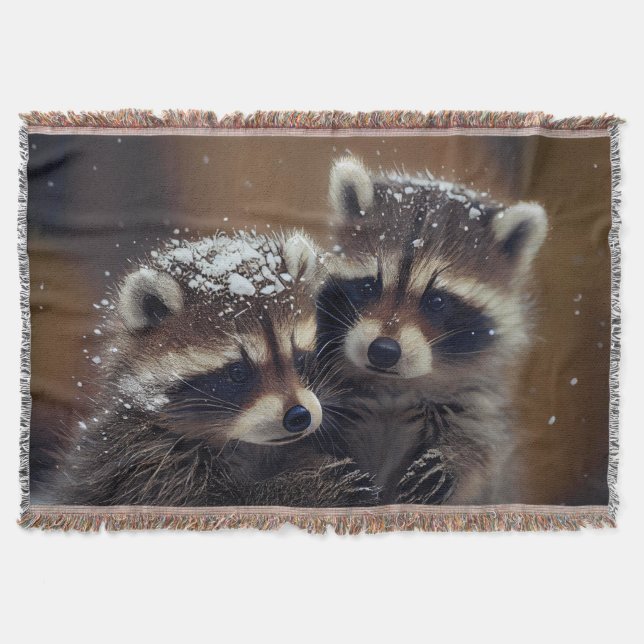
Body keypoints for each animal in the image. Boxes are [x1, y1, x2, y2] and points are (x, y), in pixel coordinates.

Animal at [56, 230, 376, 507]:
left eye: (298, 359)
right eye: (237, 372)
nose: (299, 416)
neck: (243, 444)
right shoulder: (142, 461)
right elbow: (219, 501)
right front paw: (304, 487)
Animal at [317, 156, 548, 504]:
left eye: (436, 301)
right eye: (369, 287)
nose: (383, 351)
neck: (394, 386)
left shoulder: (477, 397)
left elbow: (482, 442)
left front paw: (453, 457)